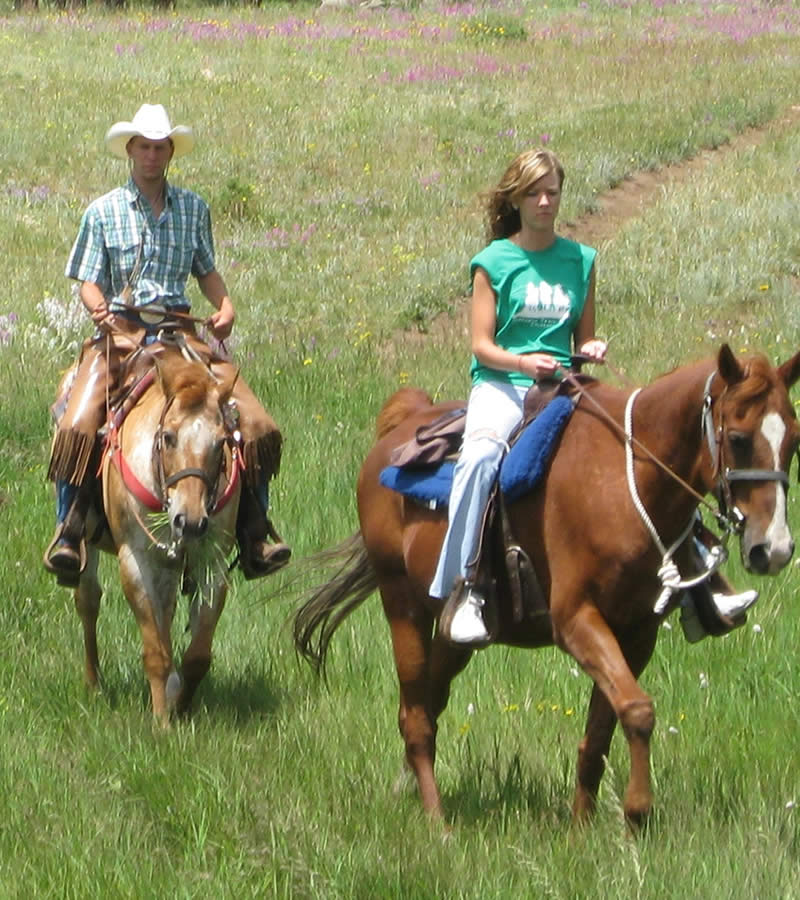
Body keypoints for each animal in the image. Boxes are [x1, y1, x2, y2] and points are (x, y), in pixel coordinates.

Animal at [73, 354, 239, 724]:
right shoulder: (136, 561)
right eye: (168, 437)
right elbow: (156, 654)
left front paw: (180, 706)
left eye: (221, 442)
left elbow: (197, 656)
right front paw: (162, 722)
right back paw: (93, 684)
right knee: (88, 600)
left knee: (166, 609)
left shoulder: (212, 562)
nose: (190, 522)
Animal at [296, 346, 800, 828]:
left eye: (793, 442)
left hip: (453, 634)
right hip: (402, 605)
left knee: (426, 704)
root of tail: (400, 427)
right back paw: (438, 823)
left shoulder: (636, 632)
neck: (624, 480)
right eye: (738, 439)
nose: (772, 549)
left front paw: (583, 829)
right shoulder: (577, 621)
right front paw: (637, 811)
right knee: (417, 717)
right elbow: (637, 711)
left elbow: (604, 730)